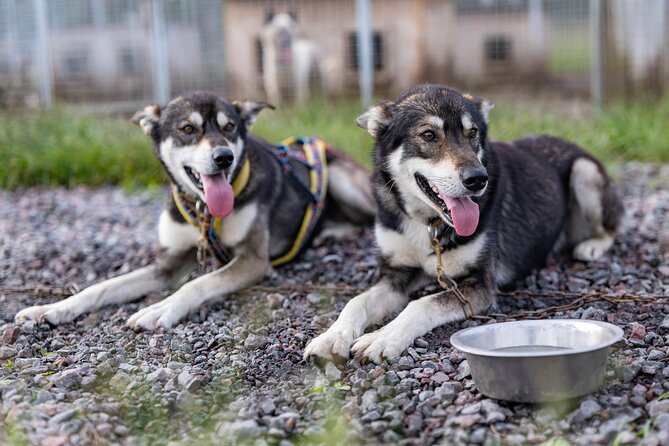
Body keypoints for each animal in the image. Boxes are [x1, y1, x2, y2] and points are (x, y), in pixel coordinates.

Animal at [15, 91, 374, 332]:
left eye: (230, 128)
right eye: (188, 129)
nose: (224, 157)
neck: (204, 210)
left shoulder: (252, 260)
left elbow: (196, 284)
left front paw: (159, 309)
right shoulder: (167, 264)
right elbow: (102, 287)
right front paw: (53, 308)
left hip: (341, 177)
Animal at [304, 84, 620, 366]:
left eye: (473, 133)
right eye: (428, 135)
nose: (478, 179)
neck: (428, 224)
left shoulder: (480, 285)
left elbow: (421, 304)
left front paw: (382, 338)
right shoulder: (396, 273)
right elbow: (357, 301)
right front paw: (332, 337)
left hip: (585, 172)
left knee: (612, 227)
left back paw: (592, 246)